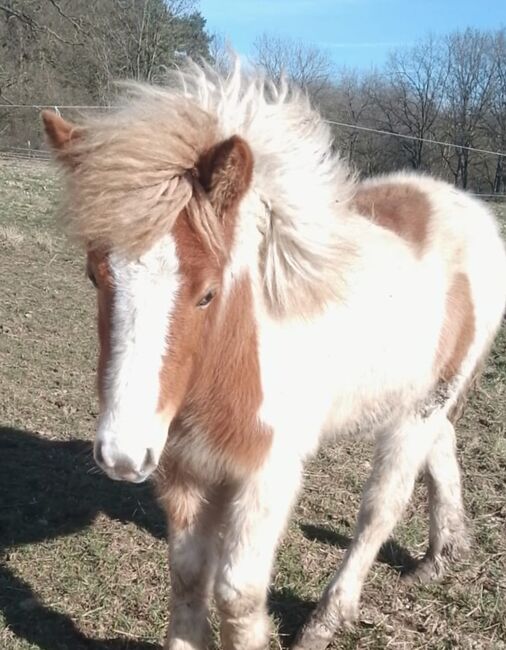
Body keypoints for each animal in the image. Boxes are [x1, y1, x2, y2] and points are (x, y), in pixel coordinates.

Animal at [42, 61, 506, 650]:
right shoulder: (182, 466)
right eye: (95, 276)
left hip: (417, 410)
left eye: (207, 293)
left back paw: (327, 620)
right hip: (424, 399)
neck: (230, 361)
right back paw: (442, 555)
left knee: (381, 508)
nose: (122, 457)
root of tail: (469, 208)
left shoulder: (269, 472)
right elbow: (188, 576)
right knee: (442, 447)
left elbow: (237, 595)